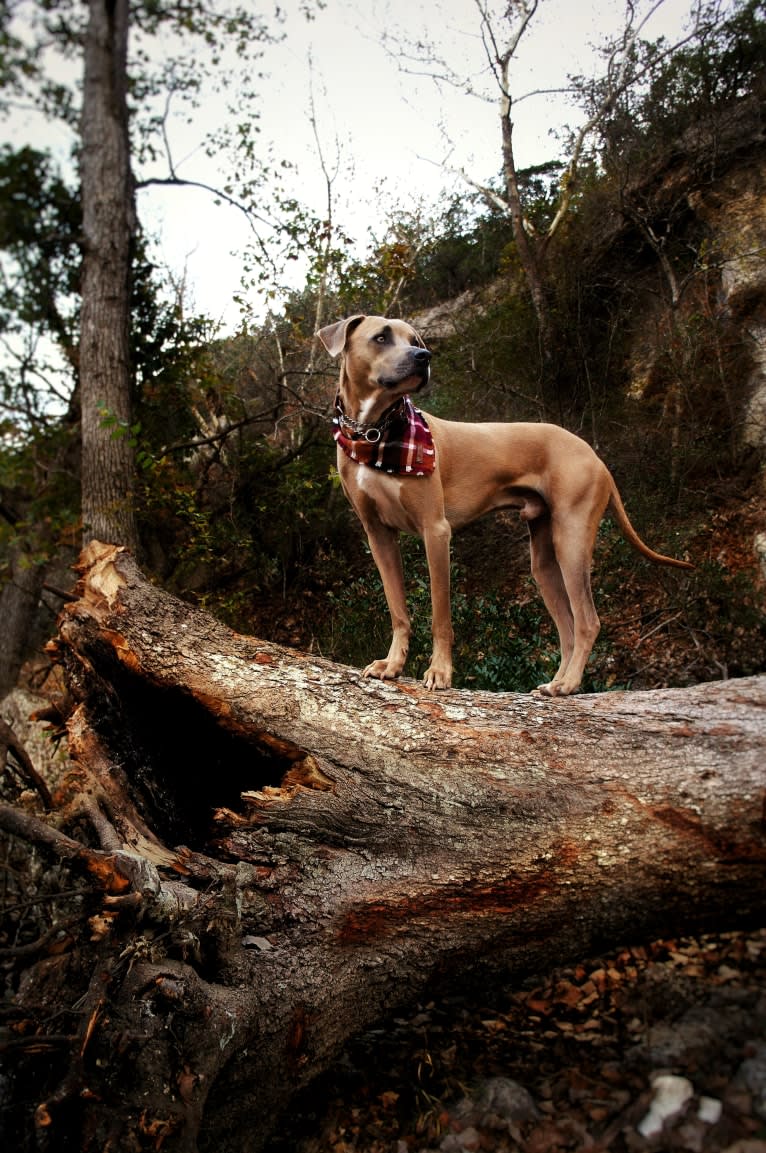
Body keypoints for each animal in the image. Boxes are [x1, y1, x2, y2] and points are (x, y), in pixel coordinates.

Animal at [318, 311, 692, 696]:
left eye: (415, 341)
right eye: (381, 337)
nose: (424, 357)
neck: (375, 434)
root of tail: (594, 455)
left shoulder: (435, 531)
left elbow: (441, 615)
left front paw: (440, 671)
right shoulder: (379, 535)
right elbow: (397, 610)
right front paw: (391, 665)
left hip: (571, 540)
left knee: (587, 621)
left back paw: (569, 684)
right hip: (544, 561)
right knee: (568, 628)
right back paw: (556, 682)